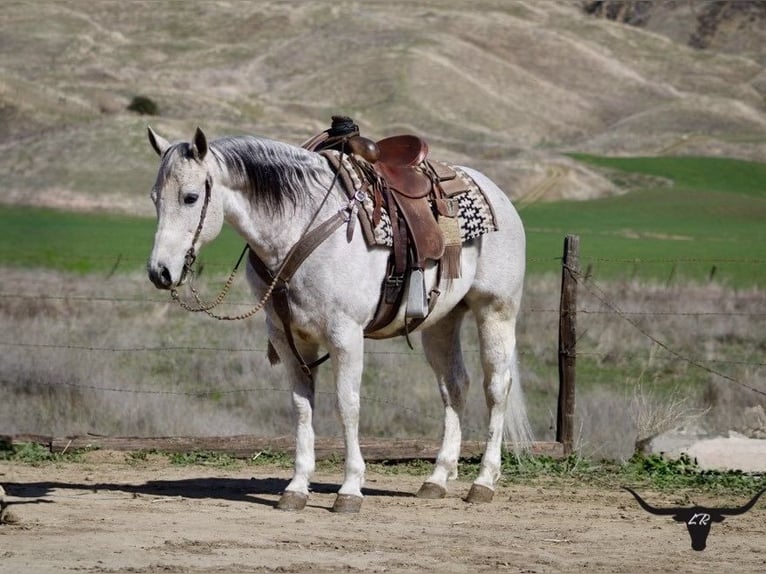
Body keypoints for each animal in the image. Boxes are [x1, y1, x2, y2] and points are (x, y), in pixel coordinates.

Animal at [145, 126, 531, 513]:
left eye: (191, 197)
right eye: (154, 198)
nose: (159, 272)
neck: (301, 228)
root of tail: (496, 194)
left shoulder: (345, 335)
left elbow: (347, 405)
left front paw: (349, 489)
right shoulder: (288, 338)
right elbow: (302, 408)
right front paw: (297, 487)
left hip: (495, 311)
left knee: (496, 388)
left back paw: (483, 482)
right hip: (441, 323)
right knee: (454, 386)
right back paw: (437, 478)